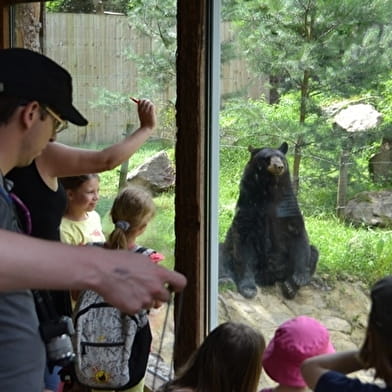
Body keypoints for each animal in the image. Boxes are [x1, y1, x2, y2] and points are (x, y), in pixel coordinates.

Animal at [219, 142, 320, 298]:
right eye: (267, 158)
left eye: (281, 157)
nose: (279, 166)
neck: (269, 189)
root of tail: (269, 279)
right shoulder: (249, 204)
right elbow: (244, 243)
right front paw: (248, 288)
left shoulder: (287, 204)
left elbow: (297, 232)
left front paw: (300, 276)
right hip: (228, 252)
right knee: (222, 254)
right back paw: (225, 279)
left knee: (313, 252)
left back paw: (290, 286)